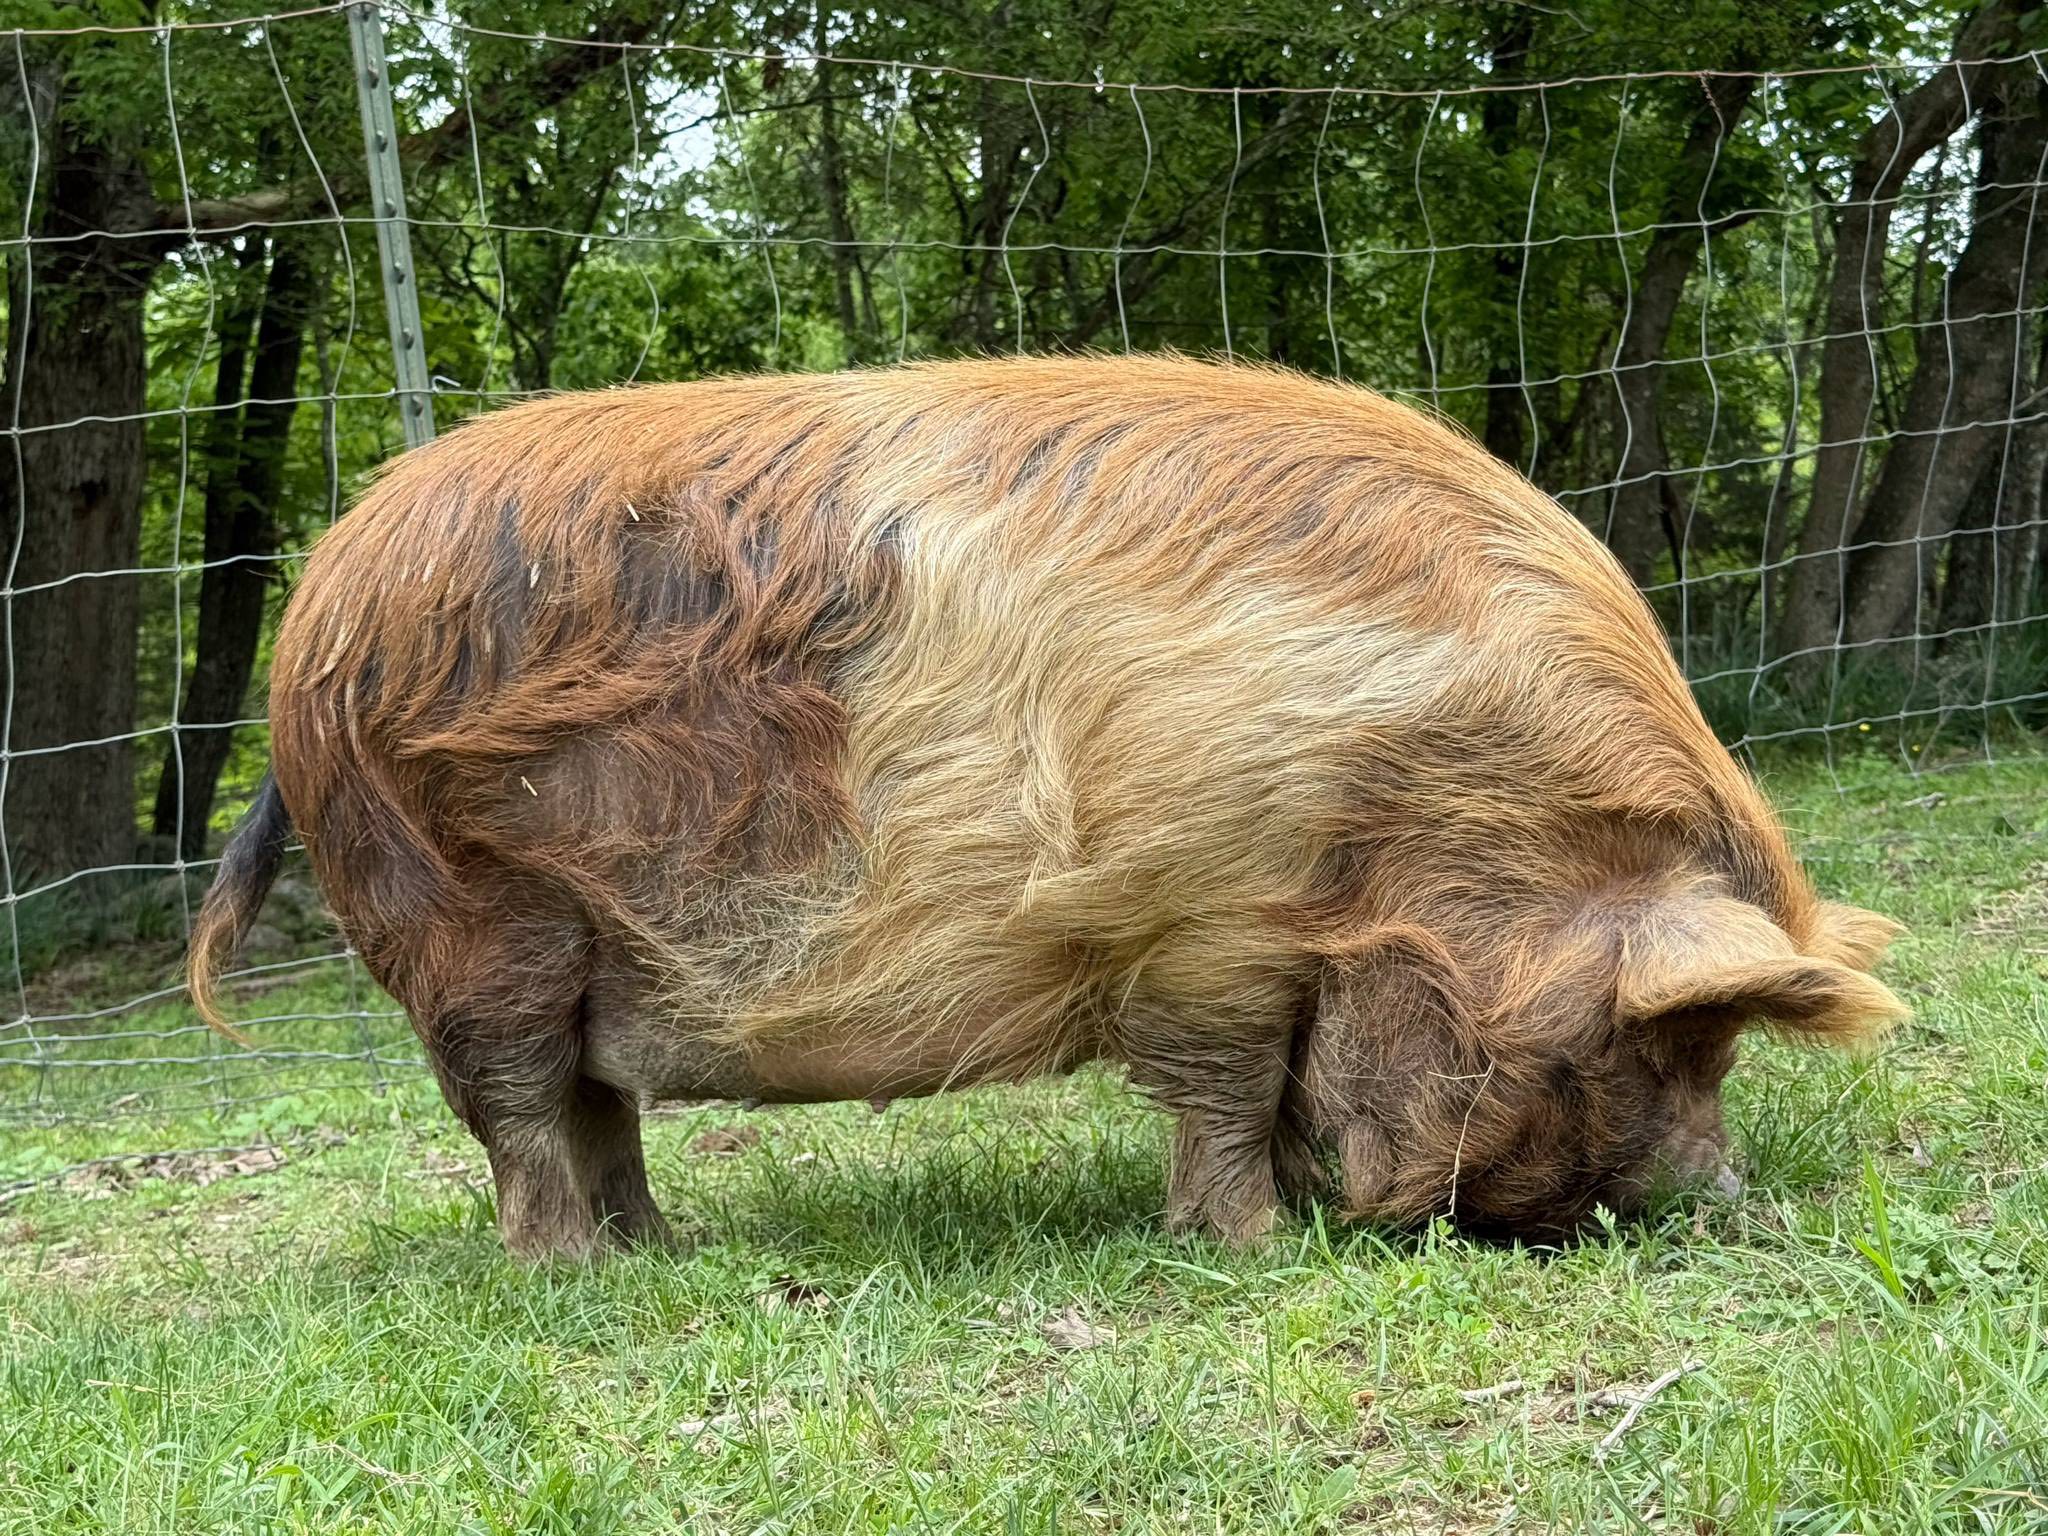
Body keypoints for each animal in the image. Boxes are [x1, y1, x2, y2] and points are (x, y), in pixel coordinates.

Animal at [187, 356, 1907, 1259]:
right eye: (1657, 1039)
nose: (1719, 1197)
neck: (1419, 804)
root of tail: (312, 616)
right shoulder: (1203, 913)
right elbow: (1223, 1088)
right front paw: (1250, 1246)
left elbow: (1279, 1091)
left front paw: (1284, 1217)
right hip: (472, 924)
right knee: (527, 1118)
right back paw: (582, 1279)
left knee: (598, 1111)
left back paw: (665, 1254)